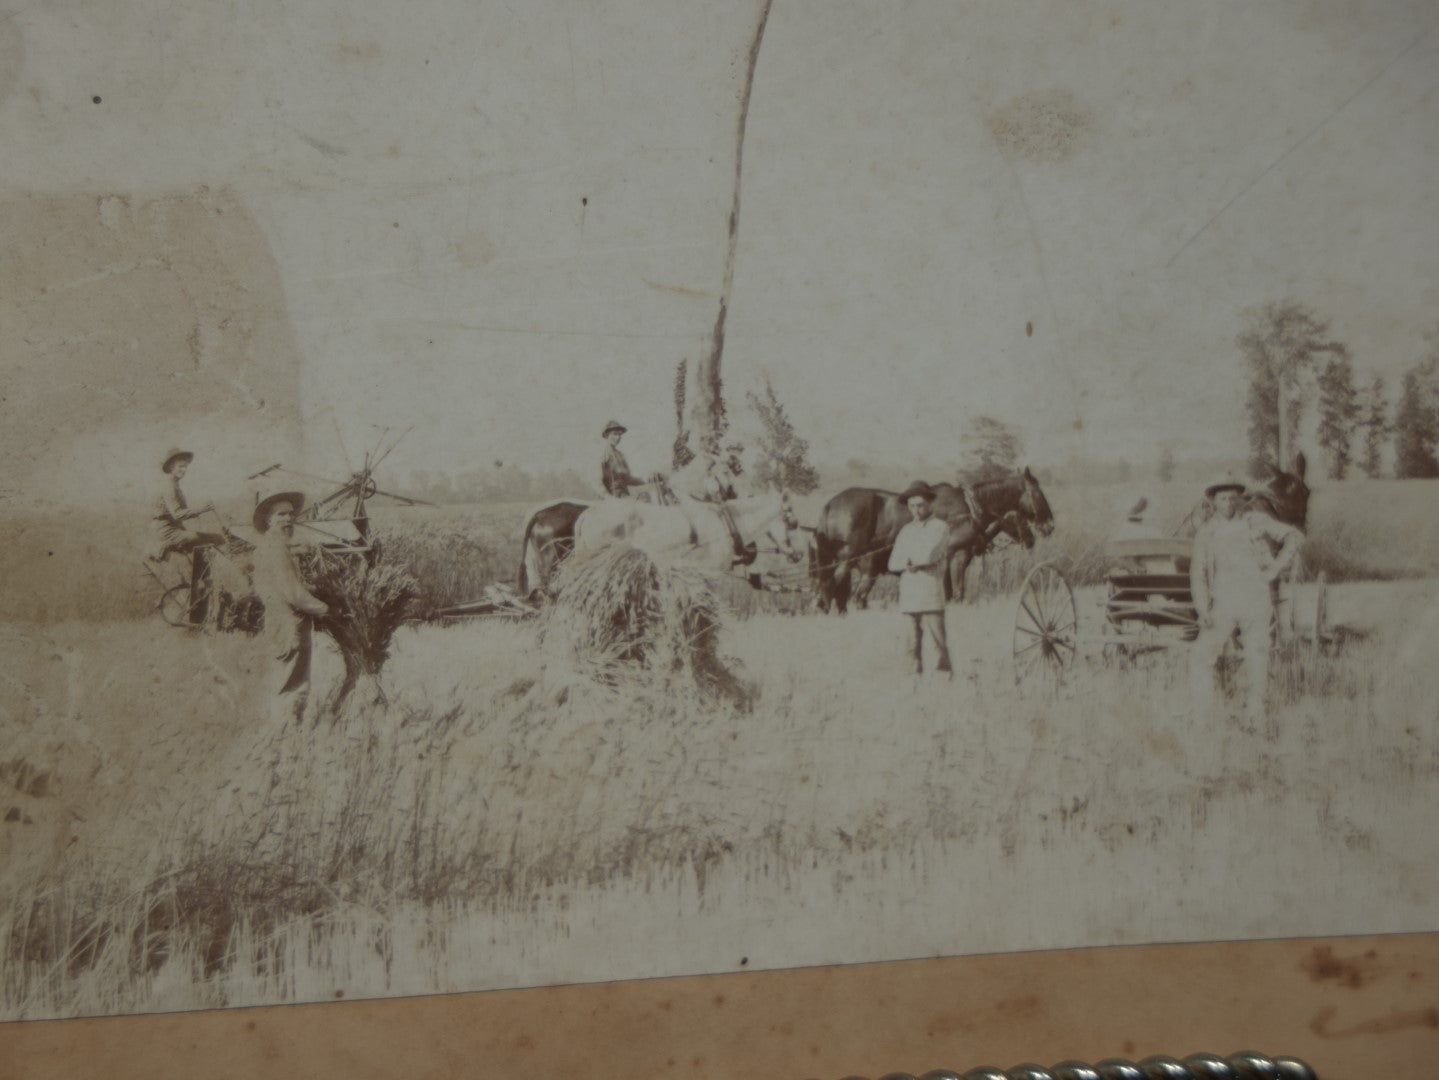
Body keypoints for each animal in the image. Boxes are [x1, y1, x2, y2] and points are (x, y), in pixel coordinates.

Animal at [811, 465, 1059, 615]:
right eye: (1038, 493)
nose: (1048, 526)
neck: (969, 509)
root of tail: (831, 504)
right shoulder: (957, 557)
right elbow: (957, 593)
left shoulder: (942, 562)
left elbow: (947, 593)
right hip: (847, 560)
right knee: (831, 587)